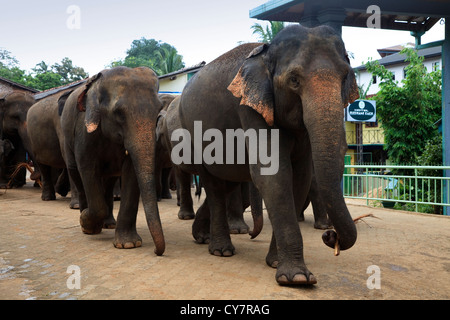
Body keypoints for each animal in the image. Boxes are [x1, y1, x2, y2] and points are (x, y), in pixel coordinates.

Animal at [59, 66, 165, 256]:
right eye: (118, 113)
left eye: (159, 109)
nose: (156, 251)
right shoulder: (84, 131)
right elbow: (87, 169)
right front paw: (87, 224)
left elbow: (131, 172)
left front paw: (128, 244)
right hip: (66, 139)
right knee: (76, 174)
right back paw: (87, 223)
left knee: (109, 181)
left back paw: (109, 224)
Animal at [162, 25, 358, 284]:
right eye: (294, 80)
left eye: (345, 76)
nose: (330, 236)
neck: (267, 52)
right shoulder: (248, 106)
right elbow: (273, 175)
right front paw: (297, 278)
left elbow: (300, 178)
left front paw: (275, 263)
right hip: (193, 132)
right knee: (214, 185)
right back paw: (221, 250)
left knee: (226, 184)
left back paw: (202, 237)